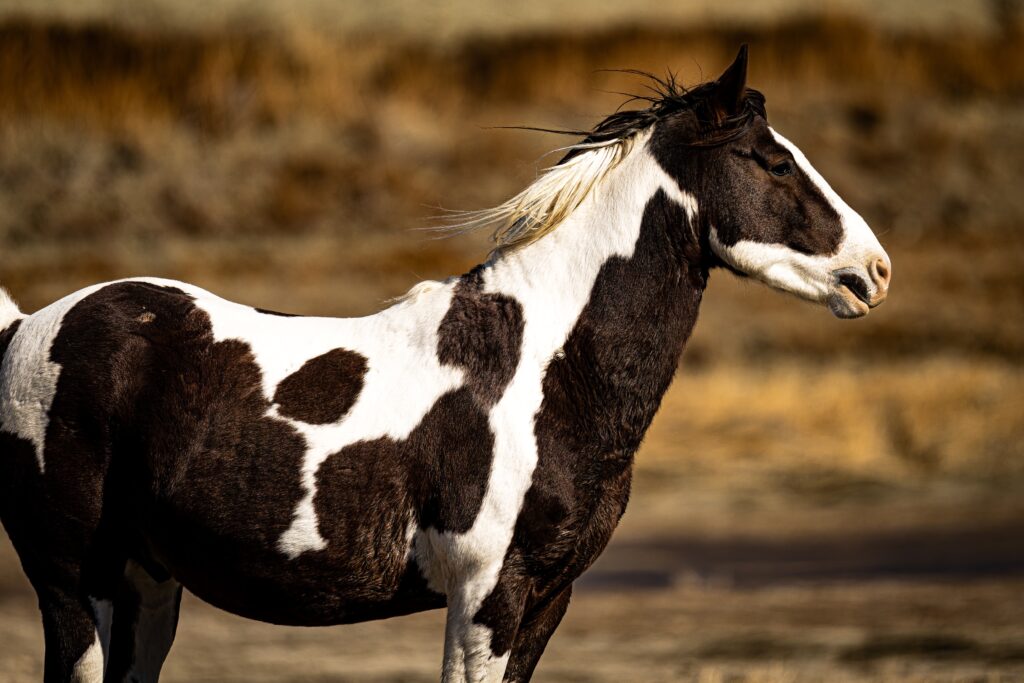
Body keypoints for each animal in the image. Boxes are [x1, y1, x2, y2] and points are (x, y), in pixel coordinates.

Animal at [0, 45, 888, 679]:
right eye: (774, 163)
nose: (873, 271)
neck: (545, 372)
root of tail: (26, 328)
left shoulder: (547, 600)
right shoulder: (485, 596)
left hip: (146, 586)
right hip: (73, 586)